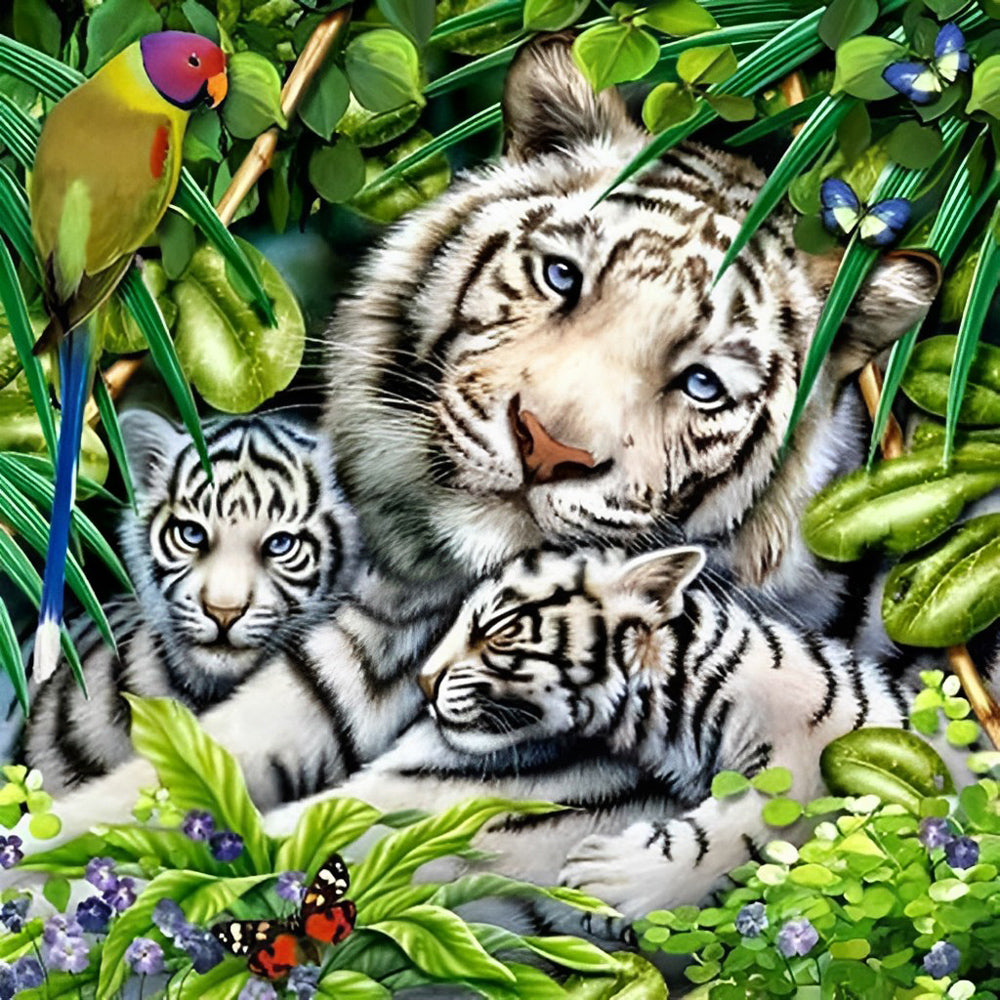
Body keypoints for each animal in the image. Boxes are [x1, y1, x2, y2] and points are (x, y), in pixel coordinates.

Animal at [281, 545, 961, 926]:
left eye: (498, 630)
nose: (422, 681)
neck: (670, 717)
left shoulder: (809, 753)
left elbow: (739, 829)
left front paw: (607, 880)